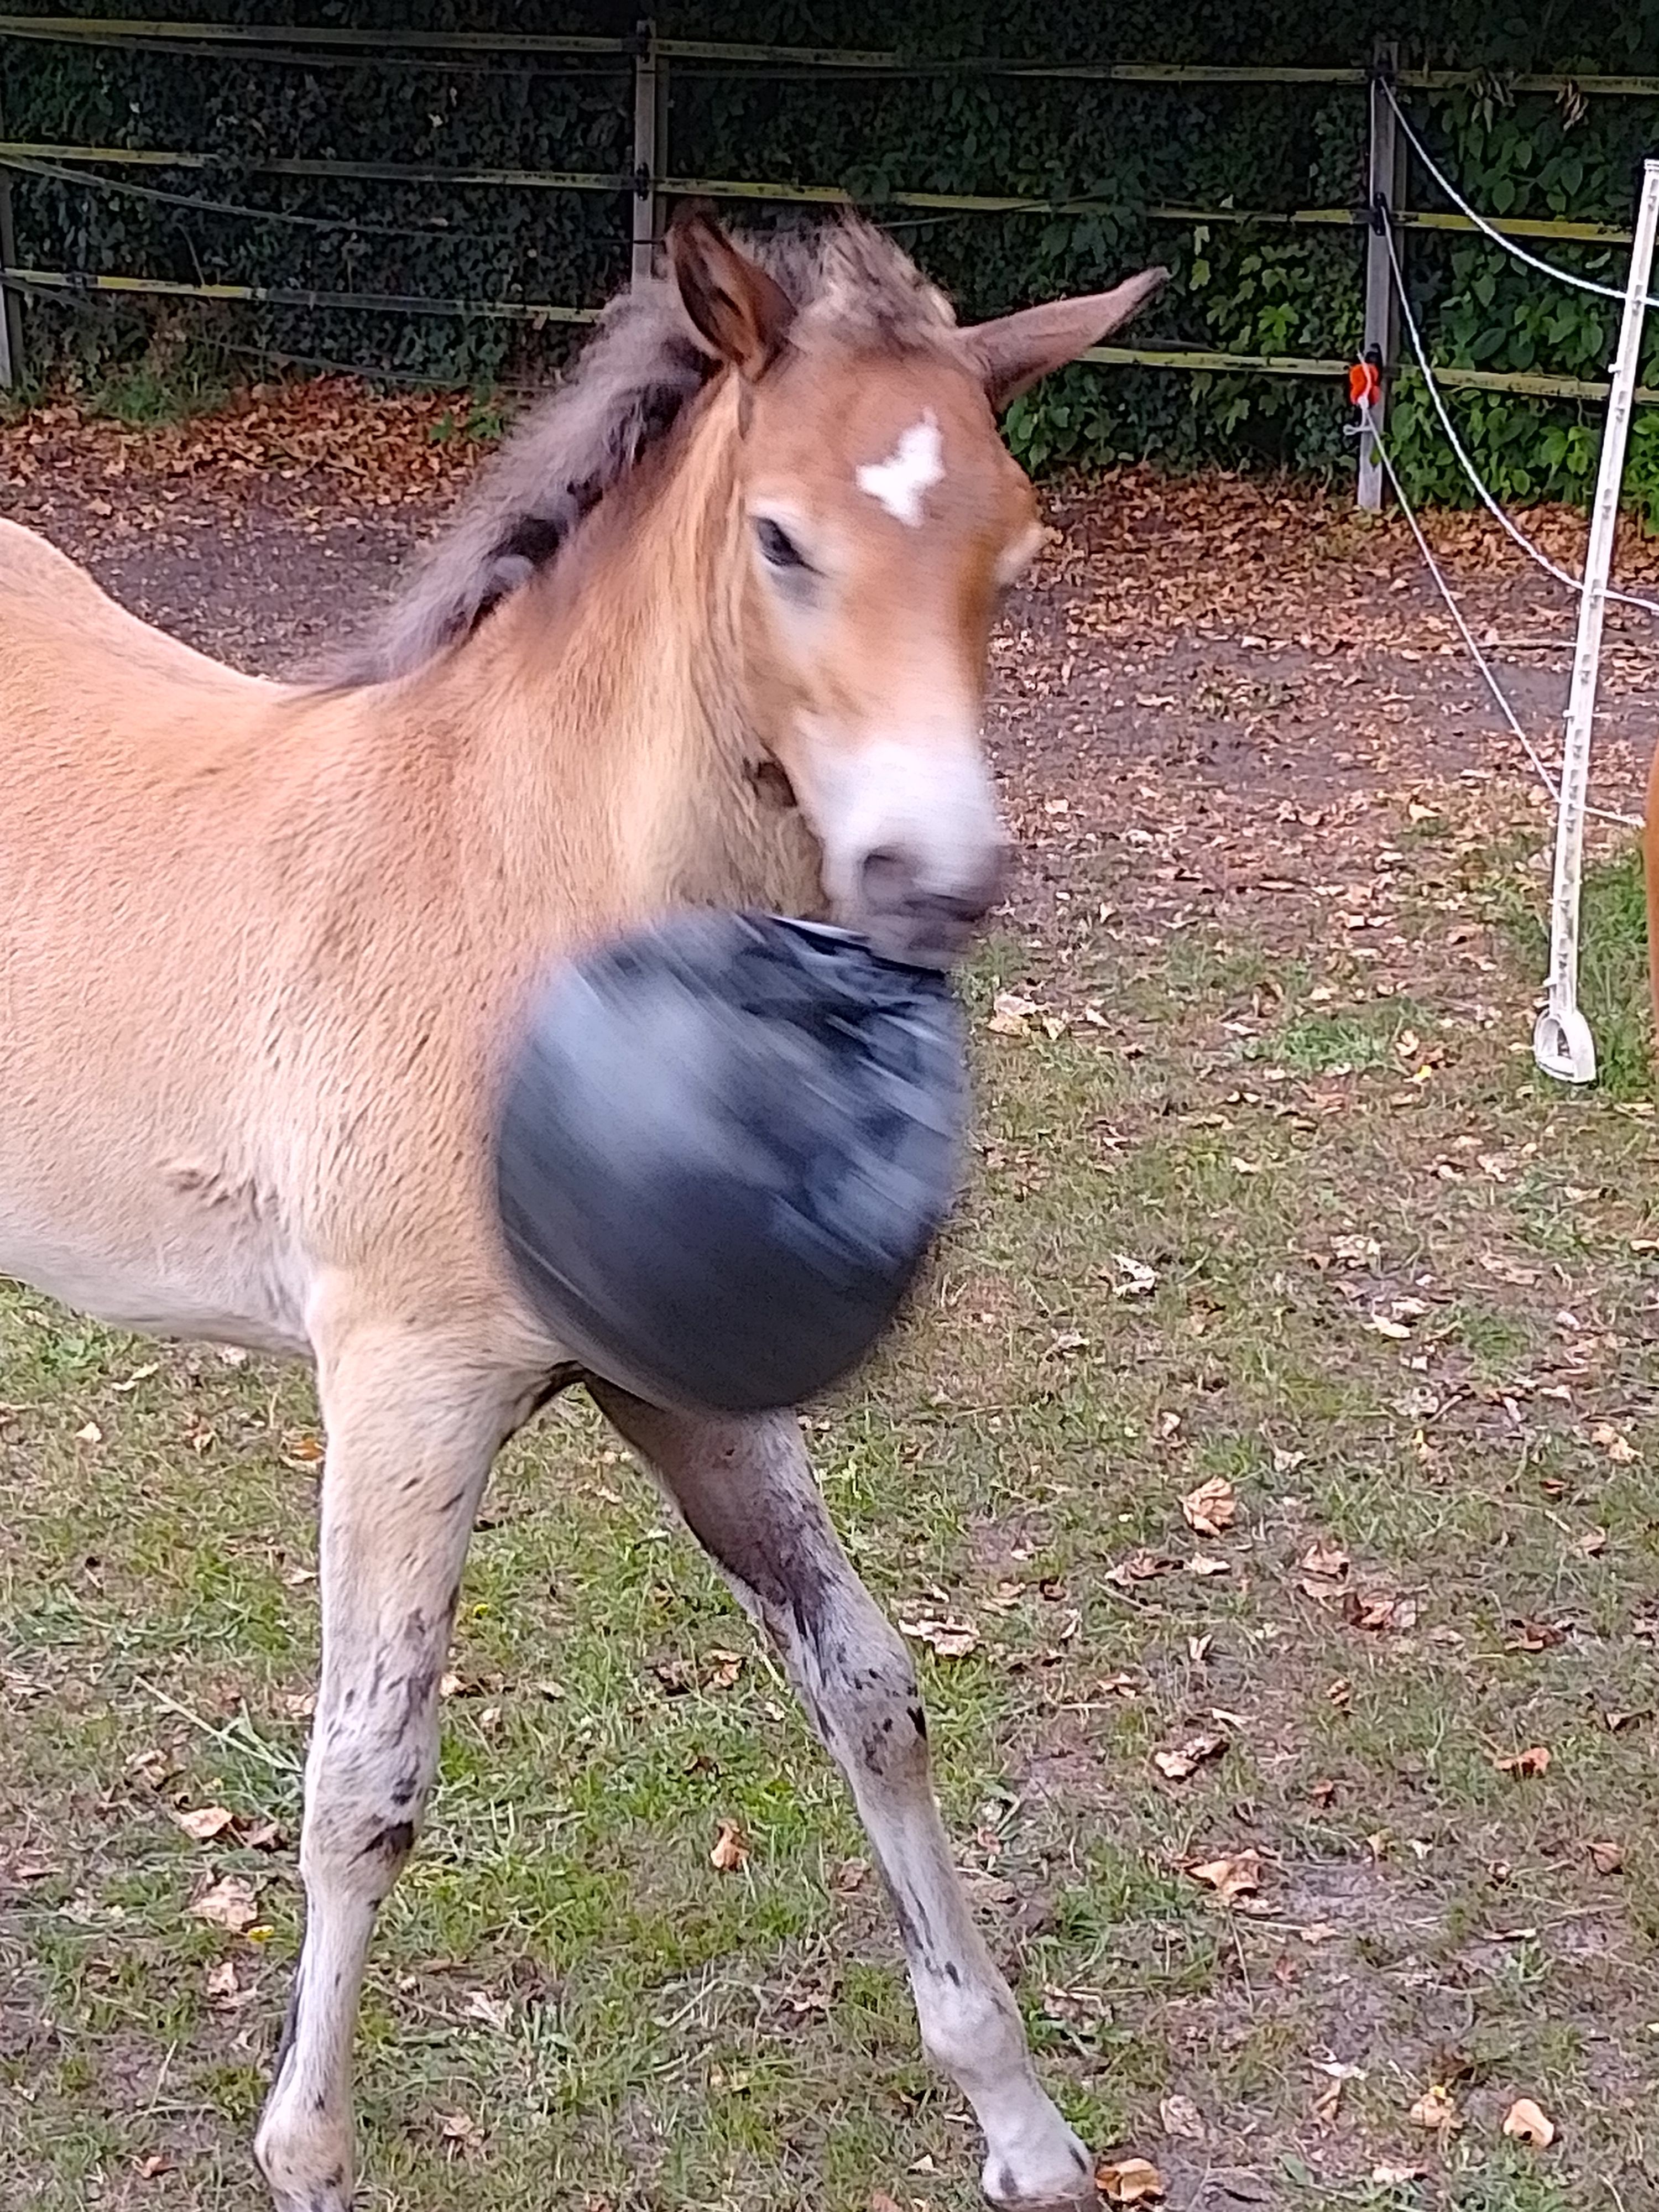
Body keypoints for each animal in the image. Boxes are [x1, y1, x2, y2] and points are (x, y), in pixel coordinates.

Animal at [0, 209, 1163, 2211]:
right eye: (781, 538)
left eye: (1013, 551)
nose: (935, 883)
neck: (520, 904)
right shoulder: (402, 1389)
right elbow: (364, 1788)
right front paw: (308, 2154)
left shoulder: (690, 1391)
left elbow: (871, 1694)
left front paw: (1020, 2124)